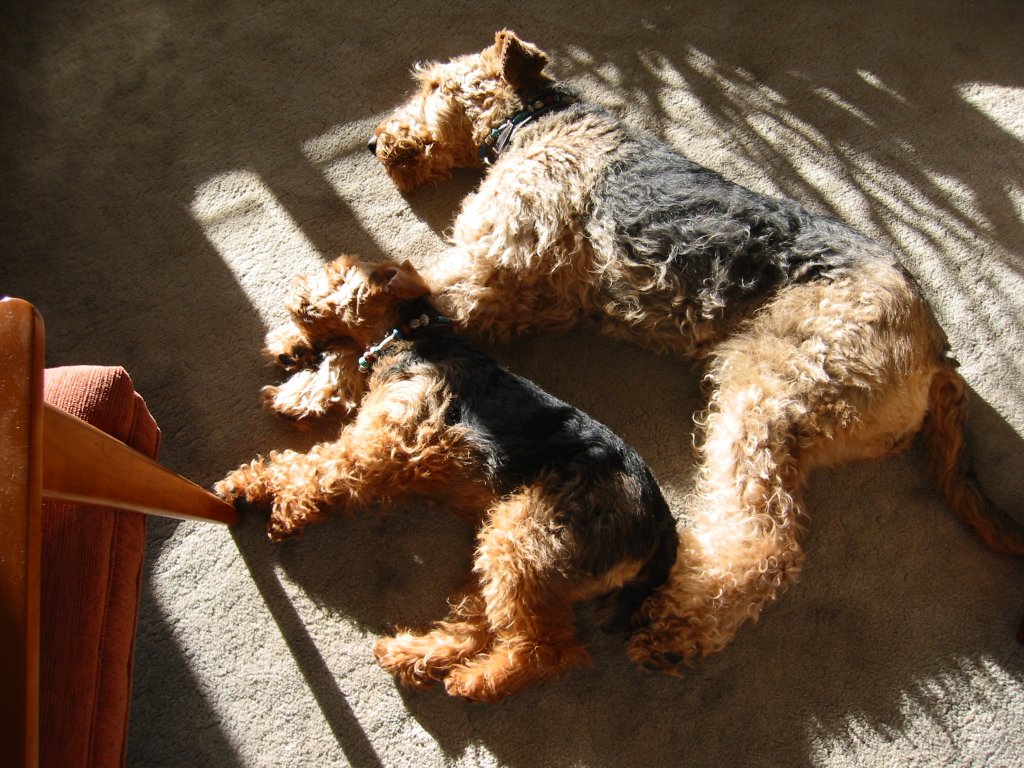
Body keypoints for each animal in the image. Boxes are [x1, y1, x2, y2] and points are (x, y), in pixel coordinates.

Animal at [214, 257, 679, 704]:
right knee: (479, 626)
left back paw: (473, 682)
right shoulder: (377, 442)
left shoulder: (379, 444)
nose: (295, 290)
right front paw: (244, 485)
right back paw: (410, 656)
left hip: (524, 541)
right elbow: (299, 463)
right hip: (504, 548)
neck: (411, 338)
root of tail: (662, 530)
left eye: (338, 274)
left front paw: (284, 508)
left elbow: (315, 467)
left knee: (545, 649)